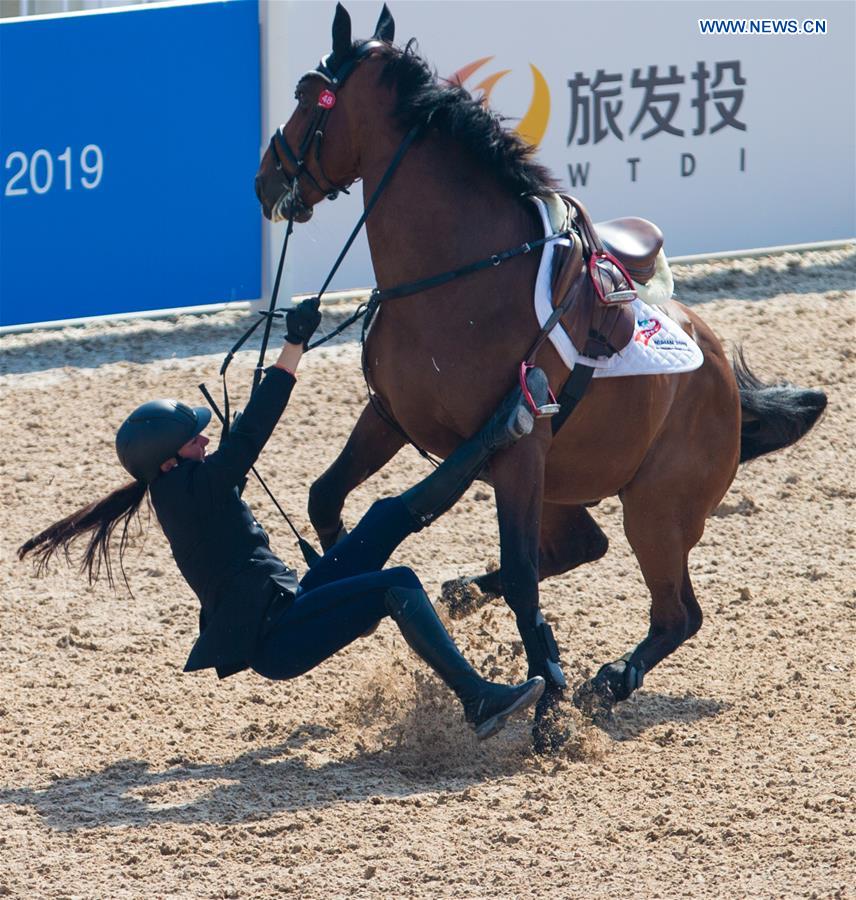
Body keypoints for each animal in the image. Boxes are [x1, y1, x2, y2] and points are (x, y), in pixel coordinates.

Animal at [252, 5, 824, 752]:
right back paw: (467, 594)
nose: (265, 178)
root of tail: (721, 370)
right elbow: (325, 496)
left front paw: (549, 708)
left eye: (306, 92)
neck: (457, 278)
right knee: (585, 546)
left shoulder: (519, 448)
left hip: (656, 509)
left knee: (675, 612)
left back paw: (604, 683)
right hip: (567, 482)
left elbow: (525, 576)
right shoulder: (391, 417)